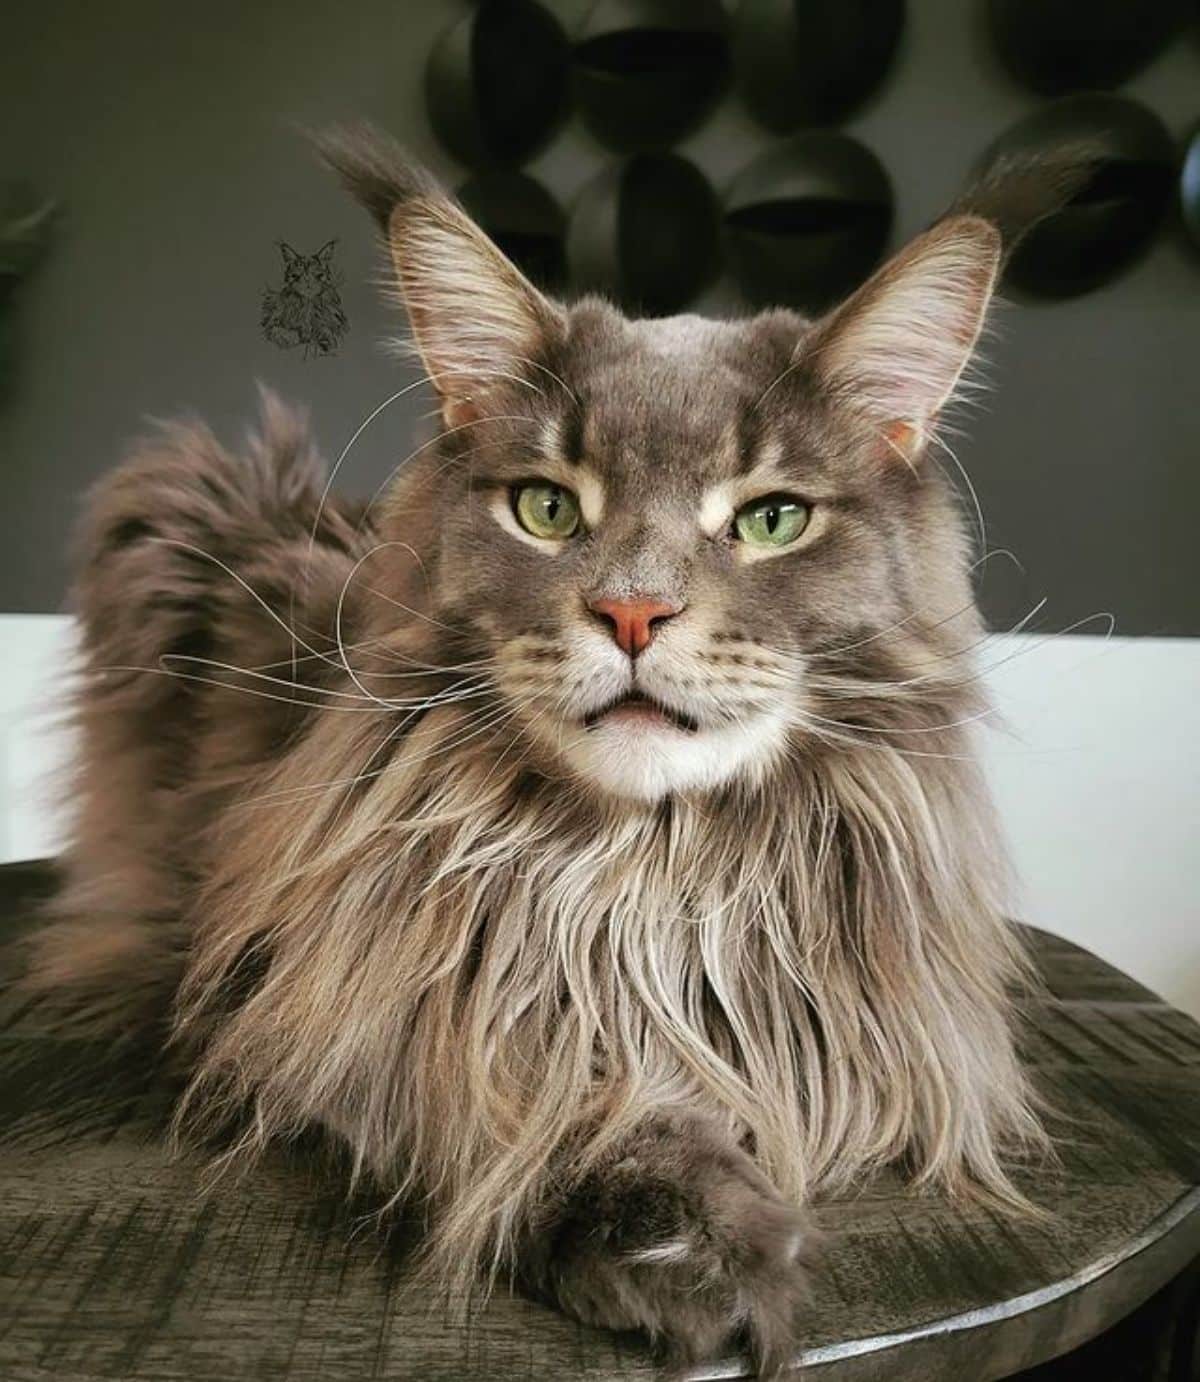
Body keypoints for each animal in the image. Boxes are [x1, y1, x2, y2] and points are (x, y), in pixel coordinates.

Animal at [25, 127, 1094, 1370]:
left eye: (773, 519)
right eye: (546, 508)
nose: (632, 611)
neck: (645, 878)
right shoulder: (303, 994)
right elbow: (508, 1101)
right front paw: (686, 1237)